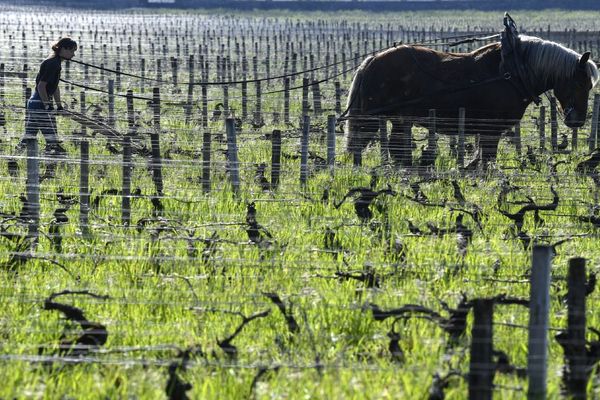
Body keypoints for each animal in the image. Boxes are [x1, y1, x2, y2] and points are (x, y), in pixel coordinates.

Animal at [344, 35, 596, 165]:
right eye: (581, 83)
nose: (578, 121)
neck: (512, 71)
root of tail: (372, 60)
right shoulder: (491, 129)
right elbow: (487, 159)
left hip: (397, 120)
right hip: (381, 118)